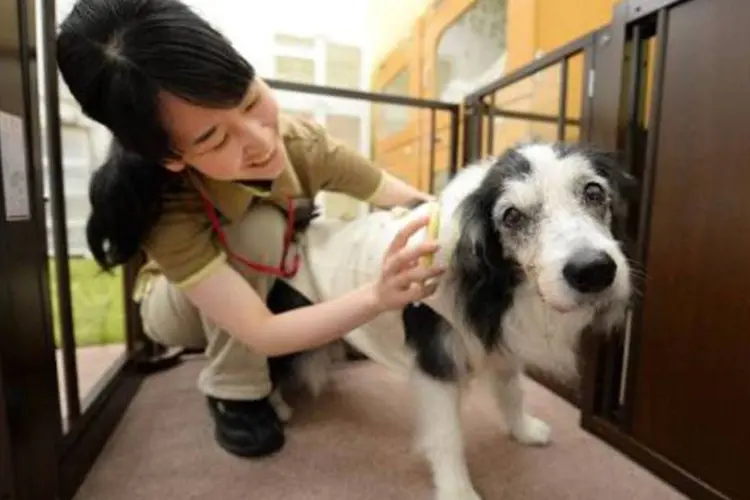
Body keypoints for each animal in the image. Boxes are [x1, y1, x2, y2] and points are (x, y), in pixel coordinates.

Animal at [268, 141, 636, 500]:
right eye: (512, 216)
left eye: (594, 192)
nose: (593, 271)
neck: (492, 279)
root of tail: (300, 232)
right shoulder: (437, 363)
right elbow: (447, 435)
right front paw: (457, 490)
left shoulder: (499, 341)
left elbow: (512, 390)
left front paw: (524, 430)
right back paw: (278, 408)